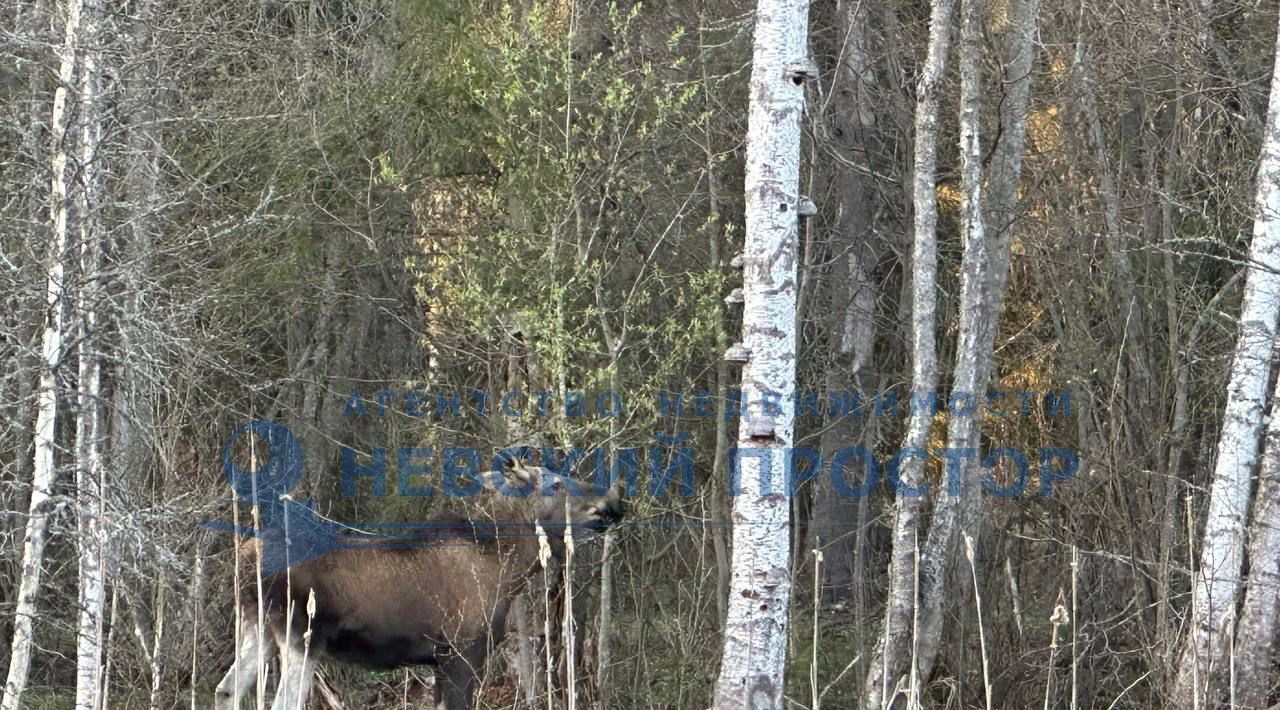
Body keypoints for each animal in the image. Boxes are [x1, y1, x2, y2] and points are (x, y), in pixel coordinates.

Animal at [213, 463, 624, 706]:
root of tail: (245, 558)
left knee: (226, 689)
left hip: (256, 625)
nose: (612, 505)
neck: (509, 566)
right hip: (301, 634)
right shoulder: (462, 652)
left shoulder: (438, 661)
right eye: (556, 483)